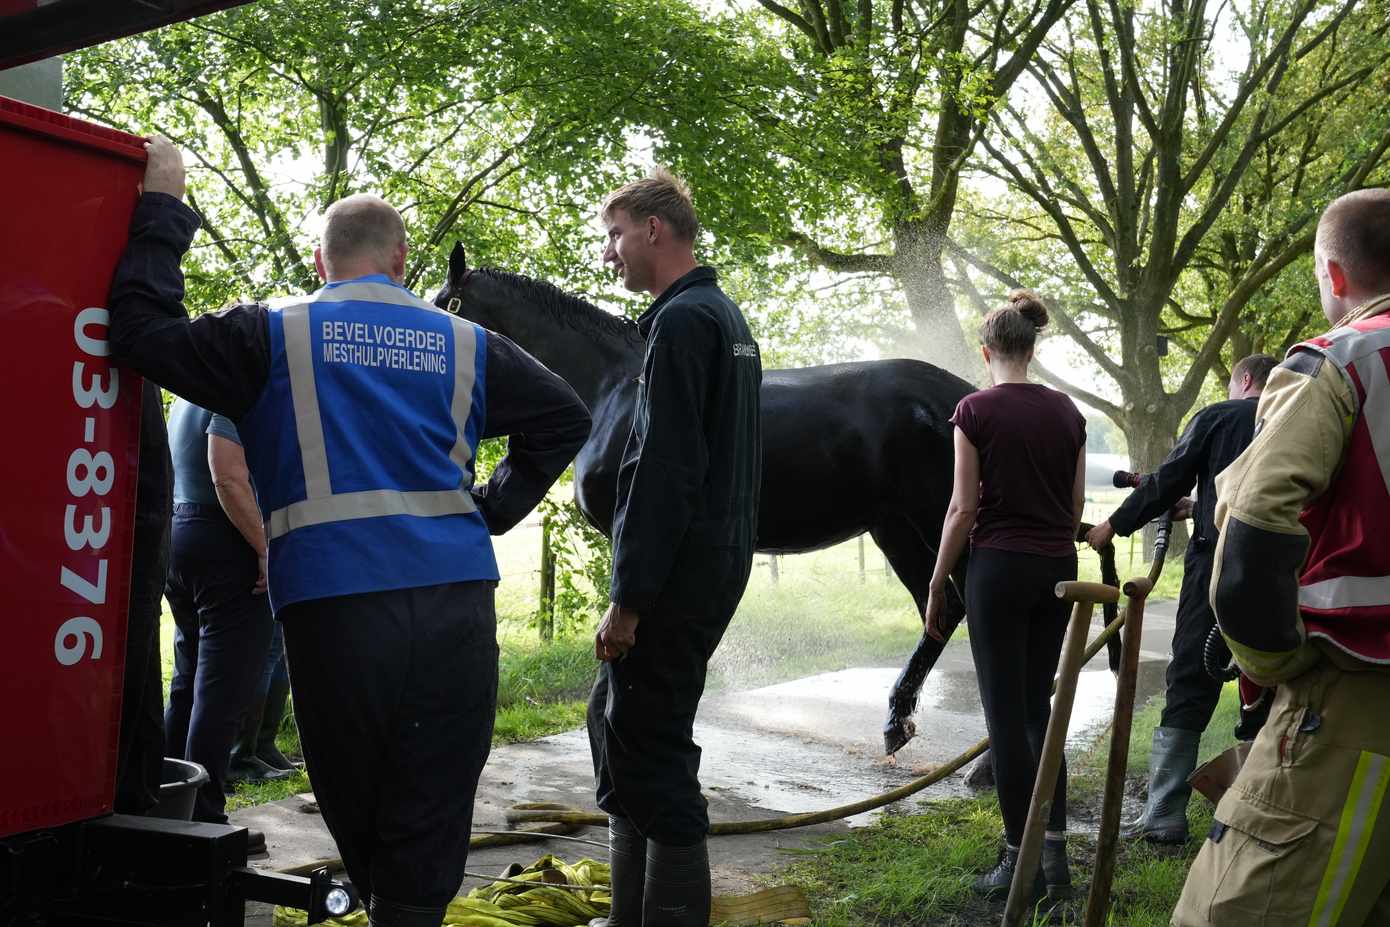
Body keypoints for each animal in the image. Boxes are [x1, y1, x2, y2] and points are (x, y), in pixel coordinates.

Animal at [436, 244, 978, 756]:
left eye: (443, 305)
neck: (613, 387)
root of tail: (958, 394)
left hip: (939, 522)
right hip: (897, 529)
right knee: (942, 609)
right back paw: (903, 723)